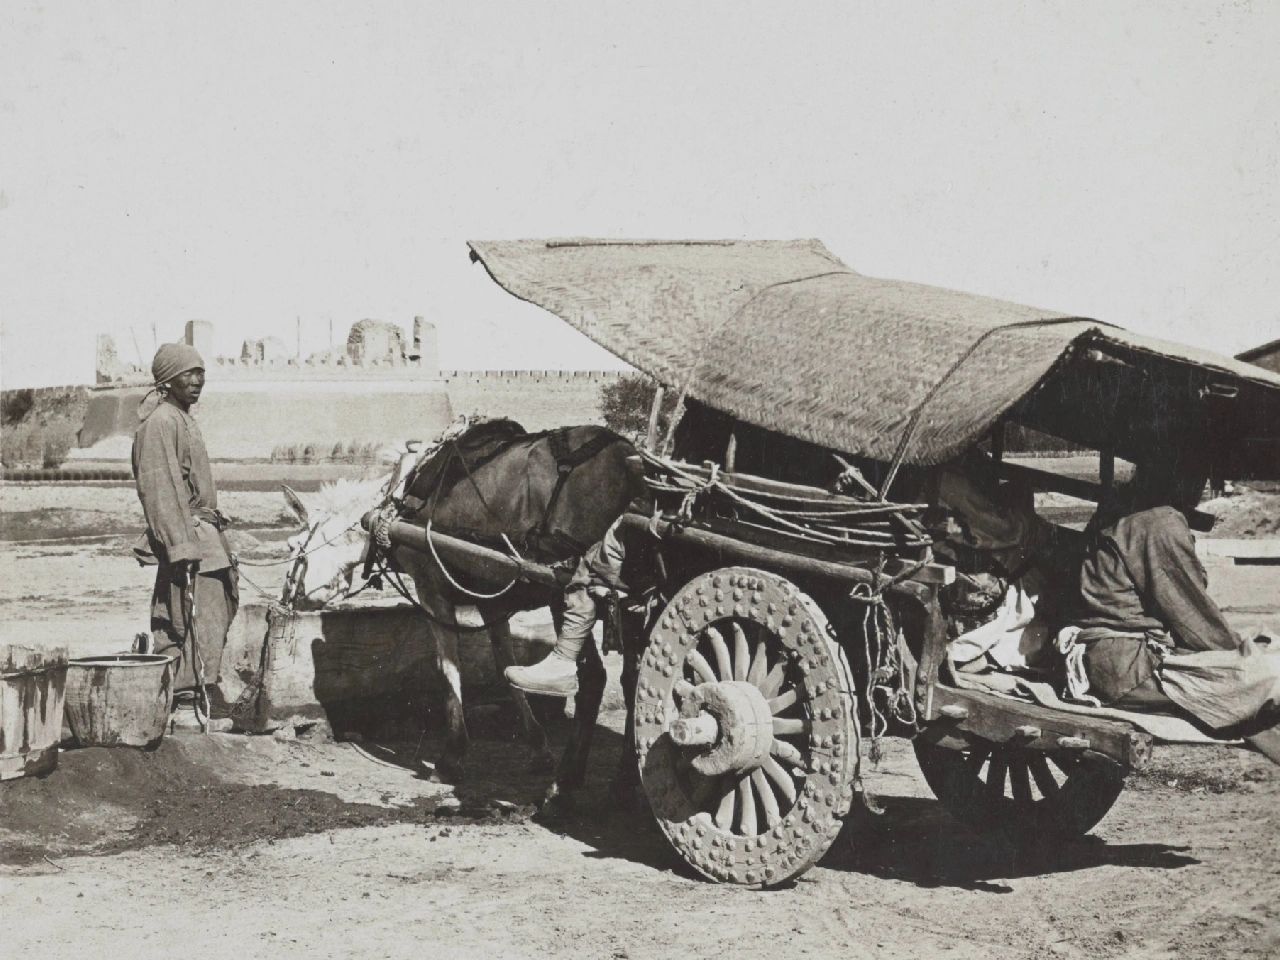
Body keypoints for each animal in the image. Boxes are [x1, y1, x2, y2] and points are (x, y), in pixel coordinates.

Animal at [279, 419, 646, 792]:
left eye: (294, 545)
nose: (289, 596)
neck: (394, 506)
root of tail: (626, 459)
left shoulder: (431, 590)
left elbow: (449, 667)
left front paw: (451, 757)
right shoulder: (492, 601)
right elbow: (506, 667)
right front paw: (538, 747)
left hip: (569, 590)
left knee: (593, 679)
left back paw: (567, 782)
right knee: (635, 680)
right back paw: (627, 779)